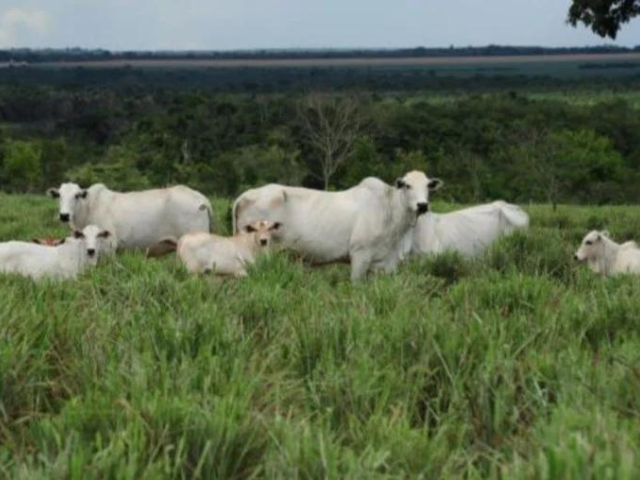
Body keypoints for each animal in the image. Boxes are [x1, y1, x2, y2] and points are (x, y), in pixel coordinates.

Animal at [48, 183, 212, 251]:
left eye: (77, 195)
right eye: (59, 195)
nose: (64, 215)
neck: (89, 207)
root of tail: (201, 199)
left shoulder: (109, 244)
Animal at [152, 219, 280, 276]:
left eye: (270, 228)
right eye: (255, 229)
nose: (263, 240)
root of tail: (183, 239)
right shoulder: (240, 270)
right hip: (192, 270)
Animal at [232, 171, 442, 282]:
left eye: (428, 186)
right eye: (407, 185)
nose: (422, 205)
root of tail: (243, 196)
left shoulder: (387, 263)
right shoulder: (360, 255)